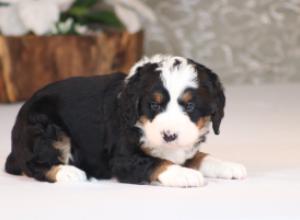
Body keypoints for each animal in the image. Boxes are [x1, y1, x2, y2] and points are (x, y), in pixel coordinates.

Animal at [4, 54, 246, 186]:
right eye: (154, 105)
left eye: (190, 106)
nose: (169, 136)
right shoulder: (123, 158)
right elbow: (156, 162)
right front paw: (184, 174)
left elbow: (201, 156)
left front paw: (229, 166)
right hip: (45, 127)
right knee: (34, 164)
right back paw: (70, 172)